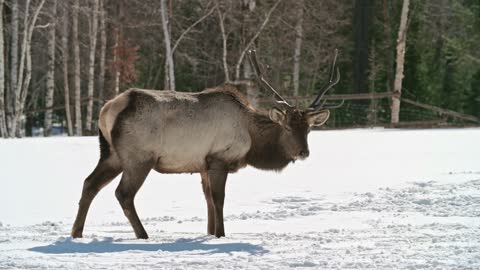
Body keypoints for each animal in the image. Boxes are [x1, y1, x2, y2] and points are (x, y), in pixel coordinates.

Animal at [71, 48, 342, 238]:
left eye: (308, 128)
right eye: (287, 127)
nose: (303, 151)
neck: (251, 140)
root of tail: (107, 109)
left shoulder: (202, 164)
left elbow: (208, 199)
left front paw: (210, 232)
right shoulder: (219, 158)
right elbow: (219, 198)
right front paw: (221, 234)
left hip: (112, 154)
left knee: (89, 184)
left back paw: (77, 233)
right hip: (138, 157)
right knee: (123, 193)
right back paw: (143, 234)